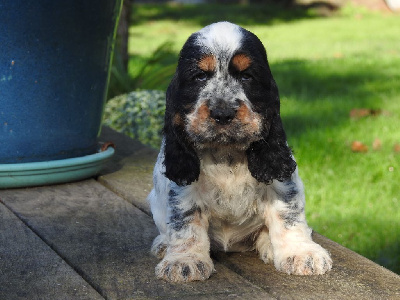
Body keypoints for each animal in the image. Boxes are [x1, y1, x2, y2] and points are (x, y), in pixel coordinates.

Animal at [147, 21, 332, 282]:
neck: (227, 154)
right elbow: (186, 222)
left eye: (247, 76)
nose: (223, 113)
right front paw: (184, 260)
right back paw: (164, 244)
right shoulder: (184, 187)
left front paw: (301, 253)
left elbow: (288, 215)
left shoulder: (282, 182)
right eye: (199, 76)